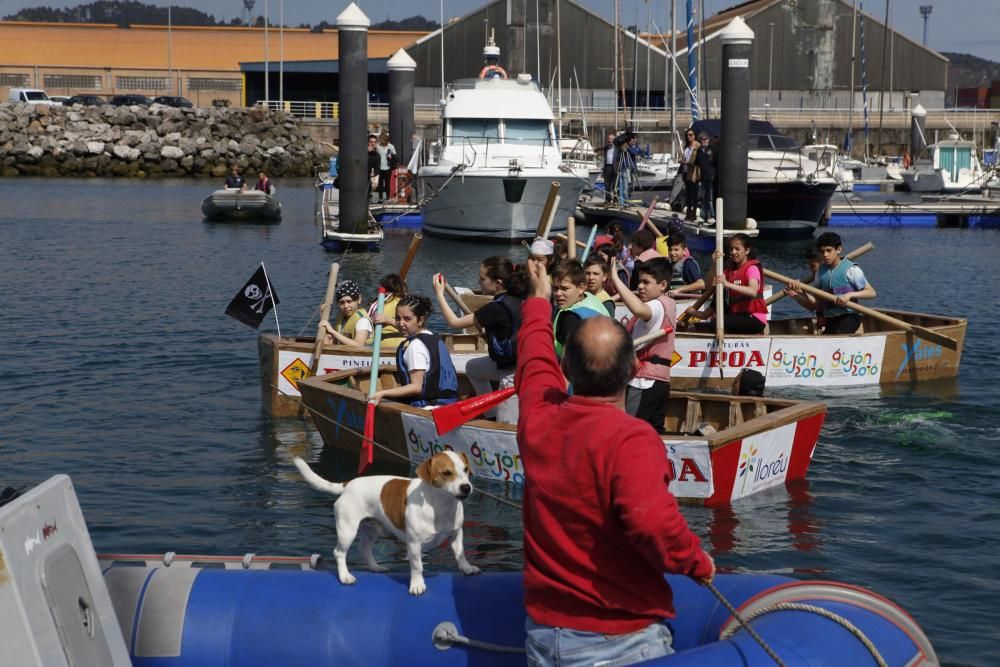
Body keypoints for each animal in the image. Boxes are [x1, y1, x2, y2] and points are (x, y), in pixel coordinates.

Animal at [292, 452, 480, 596]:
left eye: (465, 469)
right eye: (446, 473)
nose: (466, 487)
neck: (440, 505)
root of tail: (348, 484)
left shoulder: (456, 534)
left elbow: (460, 554)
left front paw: (467, 568)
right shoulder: (414, 544)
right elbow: (417, 566)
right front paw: (417, 584)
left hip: (371, 530)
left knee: (364, 548)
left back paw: (376, 567)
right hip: (347, 530)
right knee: (339, 553)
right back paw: (345, 576)